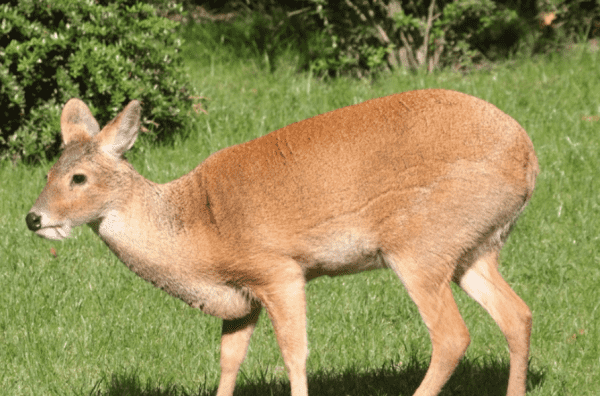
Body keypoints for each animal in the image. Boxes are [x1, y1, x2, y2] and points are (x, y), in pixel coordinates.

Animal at [25, 89, 536, 396]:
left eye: (78, 177)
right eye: (47, 172)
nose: (33, 218)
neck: (195, 228)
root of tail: (529, 158)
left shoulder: (278, 269)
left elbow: (295, 353)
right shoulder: (242, 294)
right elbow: (229, 359)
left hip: (419, 245)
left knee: (452, 335)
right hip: (474, 249)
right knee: (517, 314)